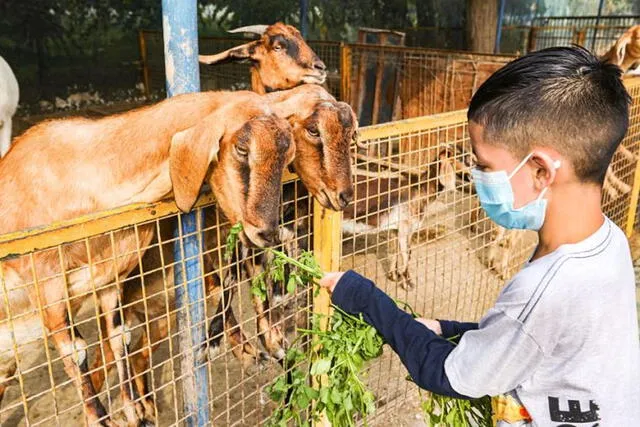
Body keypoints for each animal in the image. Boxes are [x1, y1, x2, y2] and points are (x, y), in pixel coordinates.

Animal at [0, 92, 296, 426]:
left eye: (287, 157)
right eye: (242, 148)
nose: (267, 232)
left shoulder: (110, 280)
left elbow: (121, 338)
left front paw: (134, 411)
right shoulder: (46, 285)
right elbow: (76, 351)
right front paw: (103, 418)